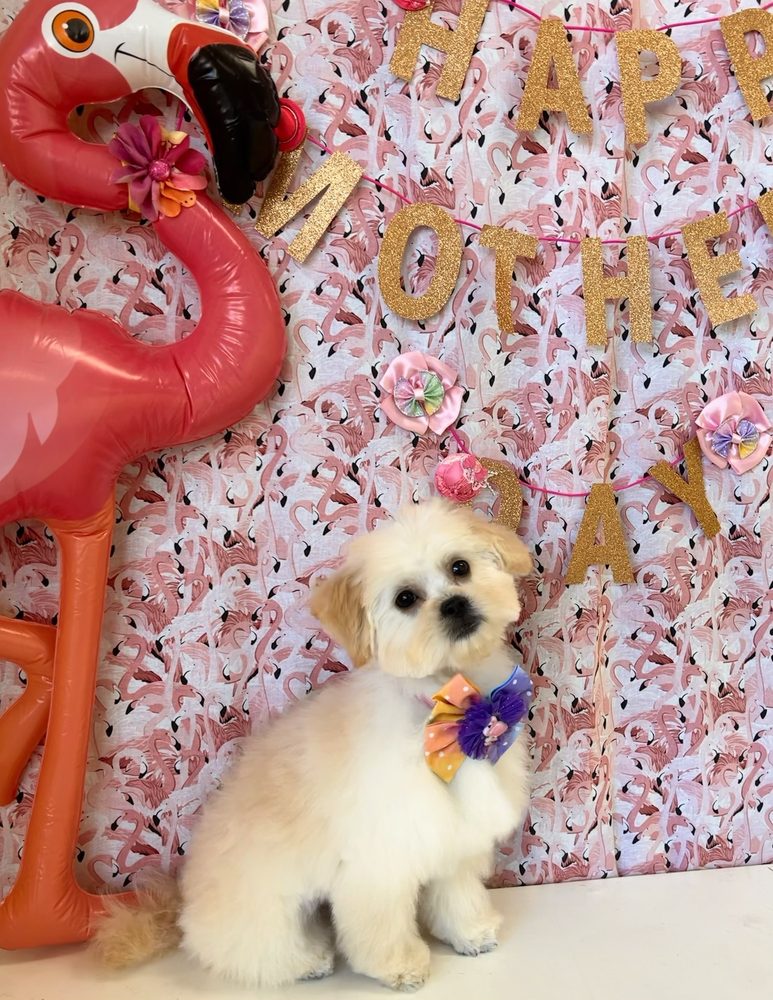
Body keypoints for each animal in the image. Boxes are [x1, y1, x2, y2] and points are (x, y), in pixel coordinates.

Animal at [94, 499, 533, 990]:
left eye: (460, 567)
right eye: (405, 599)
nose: (456, 603)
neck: (444, 710)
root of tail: (182, 906)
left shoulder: (452, 840)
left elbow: (457, 894)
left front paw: (471, 933)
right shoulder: (377, 861)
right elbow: (380, 924)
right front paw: (400, 965)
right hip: (267, 911)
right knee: (247, 952)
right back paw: (306, 962)